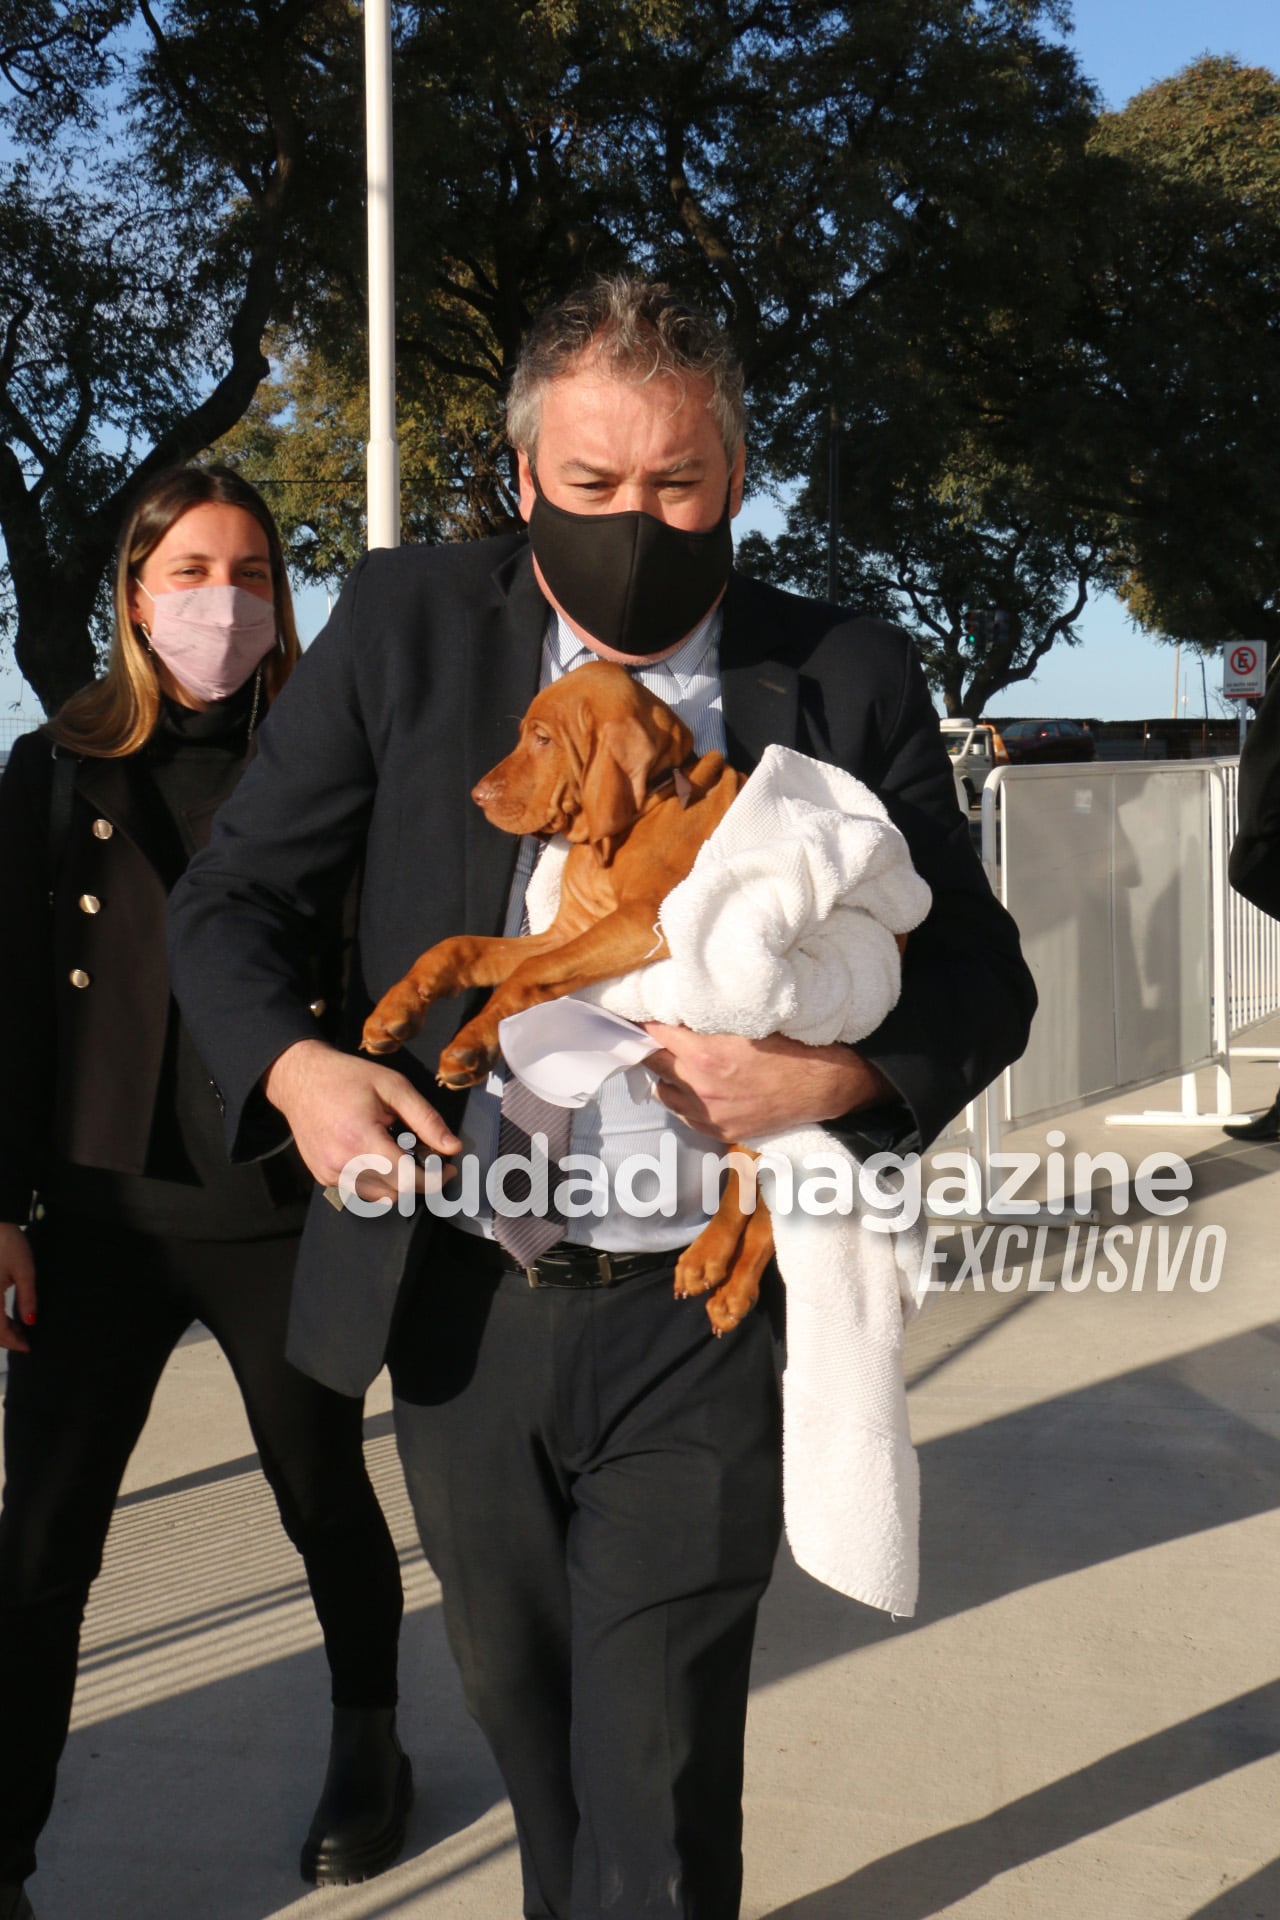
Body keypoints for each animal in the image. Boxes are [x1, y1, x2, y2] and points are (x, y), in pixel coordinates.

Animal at [364, 660, 775, 1336]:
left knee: (755, 1188)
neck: (646, 809)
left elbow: (523, 978)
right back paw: (726, 1283)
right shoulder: (568, 931)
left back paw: (712, 1267)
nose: (476, 796)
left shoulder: (641, 925)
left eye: (542, 739)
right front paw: (397, 1010)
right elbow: (462, 950)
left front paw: (471, 1046)